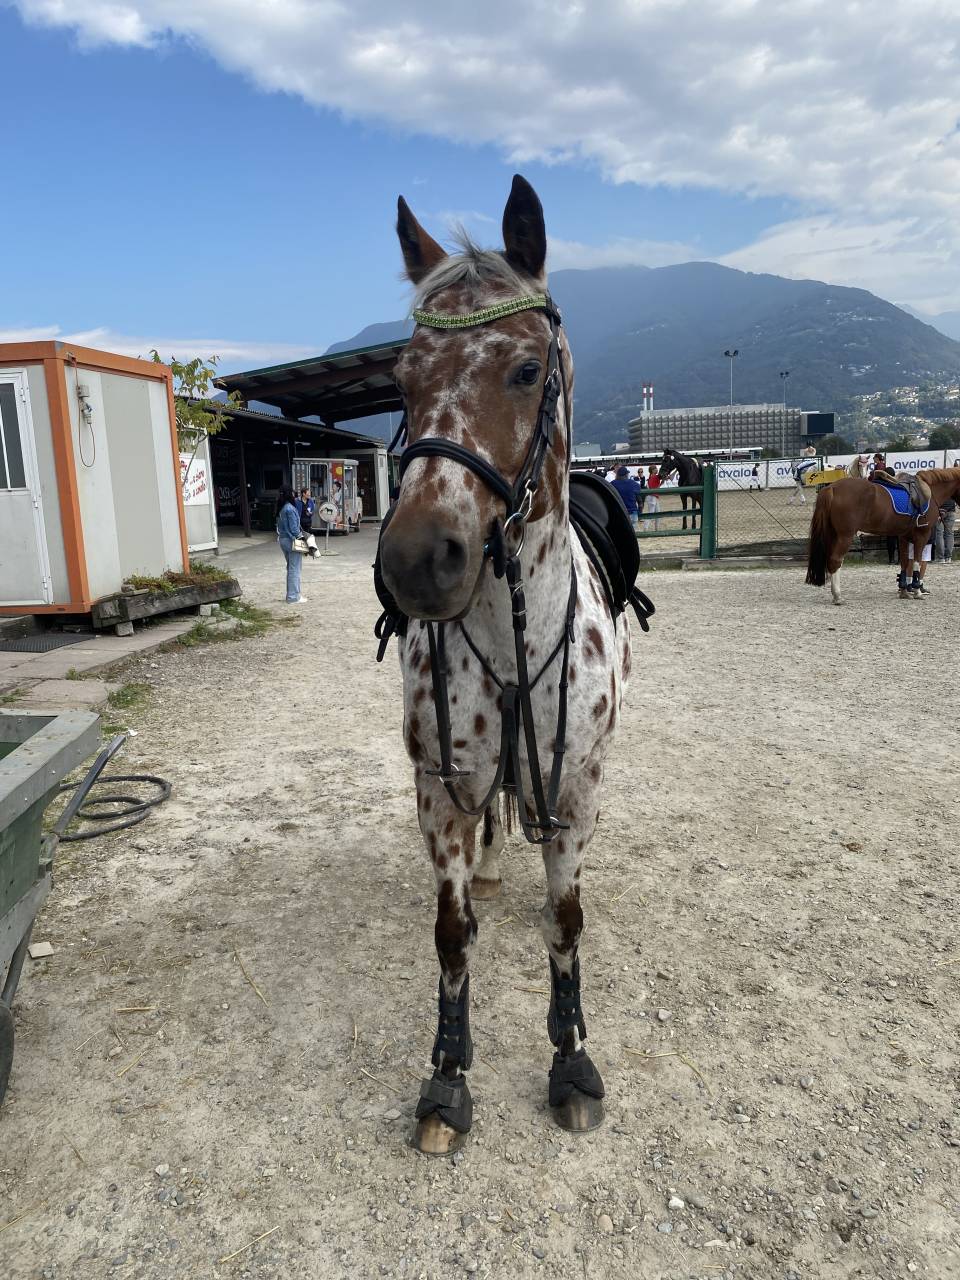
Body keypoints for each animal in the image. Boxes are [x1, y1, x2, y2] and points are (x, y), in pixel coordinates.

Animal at [377, 176, 635, 1155]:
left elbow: (566, 921)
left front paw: (572, 1062)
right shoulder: (440, 788)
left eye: (527, 370)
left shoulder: (577, 784)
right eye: (402, 380)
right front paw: (447, 1078)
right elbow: (452, 936)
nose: (417, 560)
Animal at [805, 467, 960, 604]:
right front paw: (917, 592)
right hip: (845, 536)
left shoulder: (903, 536)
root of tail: (831, 488)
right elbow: (916, 562)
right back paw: (837, 596)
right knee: (835, 560)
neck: (930, 491)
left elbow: (905, 563)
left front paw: (904, 591)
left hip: (832, 535)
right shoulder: (922, 535)